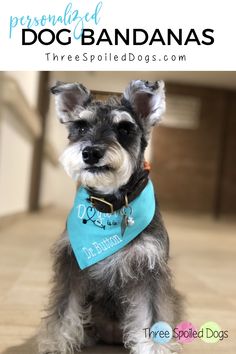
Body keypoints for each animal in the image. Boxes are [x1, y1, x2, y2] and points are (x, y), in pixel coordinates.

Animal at [38, 80, 183, 354]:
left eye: (125, 128)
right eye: (81, 126)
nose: (91, 152)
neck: (110, 204)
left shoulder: (149, 270)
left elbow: (152, 314)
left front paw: (154, 347)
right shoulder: (71, 265)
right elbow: (64, 309)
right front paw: (55, 343)